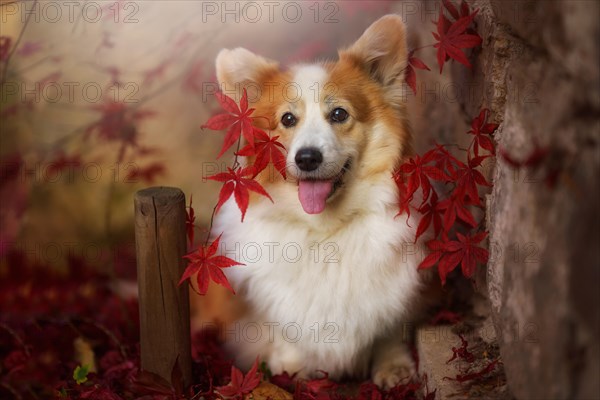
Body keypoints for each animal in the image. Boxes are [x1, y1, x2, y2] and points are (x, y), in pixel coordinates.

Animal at [211, 14, 432, 388]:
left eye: (339, 114)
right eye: (287, 119)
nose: (307, 158)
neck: (325, 229)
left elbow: (386, 327)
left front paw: (393, 365)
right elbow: (285, 331)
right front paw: (290, 368)